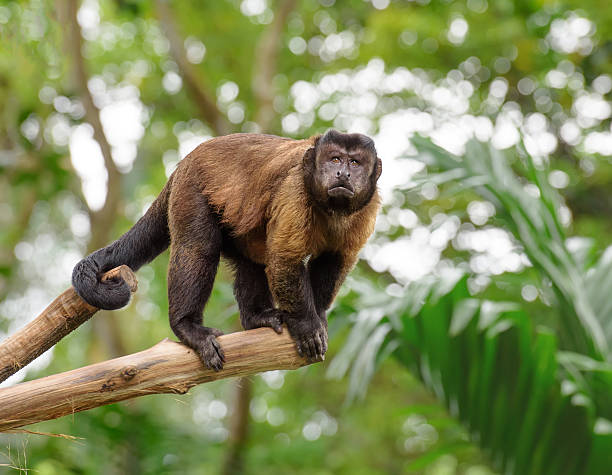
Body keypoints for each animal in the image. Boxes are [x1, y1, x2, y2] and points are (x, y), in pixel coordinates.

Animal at [71, 129, 382, 372]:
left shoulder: (368, 207)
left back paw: (256, 318)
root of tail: (184, 162)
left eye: (355, 162)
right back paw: (187, 326)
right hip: (190, 189)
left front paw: (318, 315)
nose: (343, 173)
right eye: (334, 159)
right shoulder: (295, 190)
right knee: (199, 248)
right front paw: (307, 325)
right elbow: (284, 261)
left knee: (254, 256)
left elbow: (335, 260)